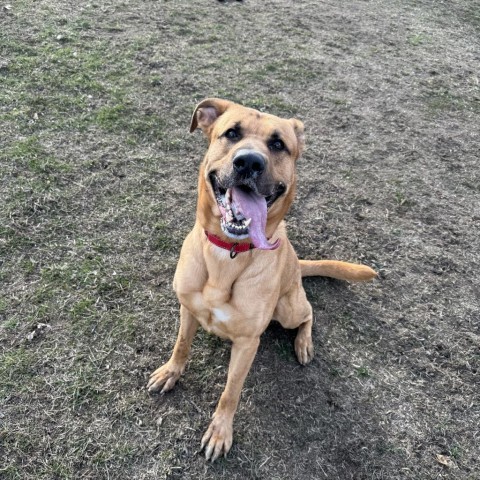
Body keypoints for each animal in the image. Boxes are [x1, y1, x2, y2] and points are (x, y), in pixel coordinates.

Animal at [146, 98, 376, 462]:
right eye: (231, 133)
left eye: (278, 144)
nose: (249, 162)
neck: (228, 255)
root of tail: (297, 262)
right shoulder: (187, 309)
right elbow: (181, 346)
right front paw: (171, 372)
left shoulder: (247, 344)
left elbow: (231, 391)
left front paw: (220, 431)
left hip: (288, 308)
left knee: (309, 312)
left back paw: (303, 343)